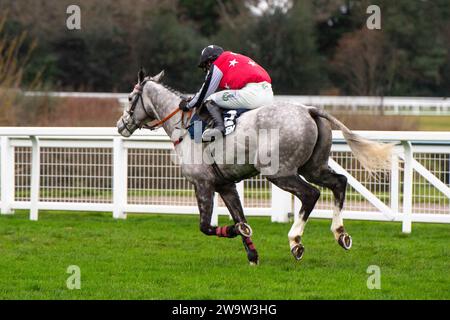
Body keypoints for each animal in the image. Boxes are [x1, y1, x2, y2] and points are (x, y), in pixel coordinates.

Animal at [118, 70, 392, 264]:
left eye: (130, 98)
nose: (121, 125)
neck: (183, 125)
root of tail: (309, 109)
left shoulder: (202, 183)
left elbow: (206, 227)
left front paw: (235, 231)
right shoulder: (225, 185)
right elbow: (240, 218)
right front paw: (252, 254)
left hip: (278, 172)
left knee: (310, 194)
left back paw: (295, 241)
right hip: (313, 167)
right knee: (339, 183)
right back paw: (340, 233)